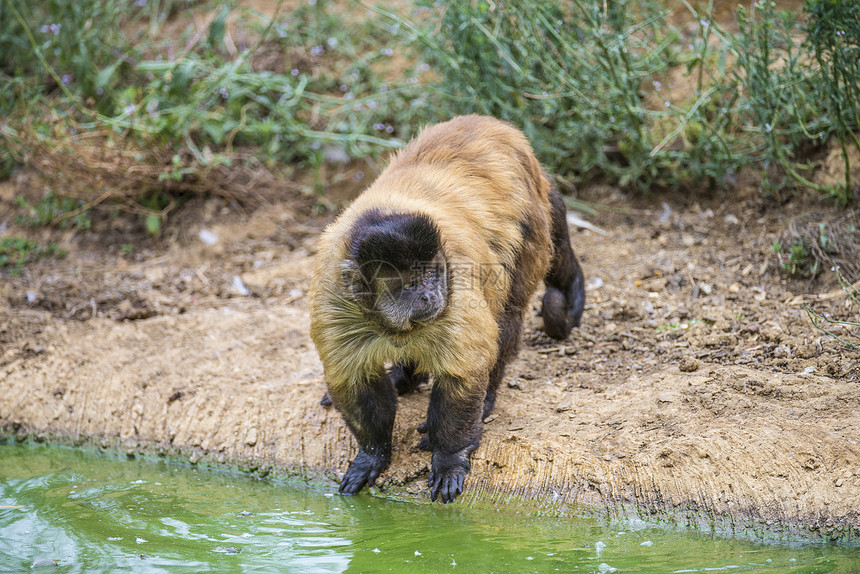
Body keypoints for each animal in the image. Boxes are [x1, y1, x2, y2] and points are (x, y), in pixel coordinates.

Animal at [310, 113, 584, 504]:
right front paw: (372, 455)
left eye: (431, 275)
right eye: (409, 285)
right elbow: (354, 381)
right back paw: (405, 377)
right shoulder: (334, 298)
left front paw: (450, 457)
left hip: (532, 221)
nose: (429, 295)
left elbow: (464, 373)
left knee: (507, 313)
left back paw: (484, 396)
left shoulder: (456, 282)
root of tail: (503, 130)